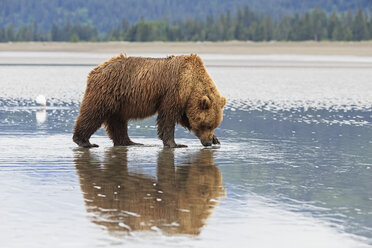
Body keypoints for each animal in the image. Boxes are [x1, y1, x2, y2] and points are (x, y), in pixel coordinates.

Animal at [71, 54, 225, 147]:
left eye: (214, 125)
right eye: (206, 125)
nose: (207, 142)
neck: (192, 82)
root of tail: (96, 69)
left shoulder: (185, 101)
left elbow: (184, 118)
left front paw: (216, 139)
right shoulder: (173, 91)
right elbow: (168, 117)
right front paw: (175, 144)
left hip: (119, 101)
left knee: (118, 121)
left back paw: (129, 142)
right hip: (105, 92)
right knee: (93, 113)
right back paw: (84, 141)